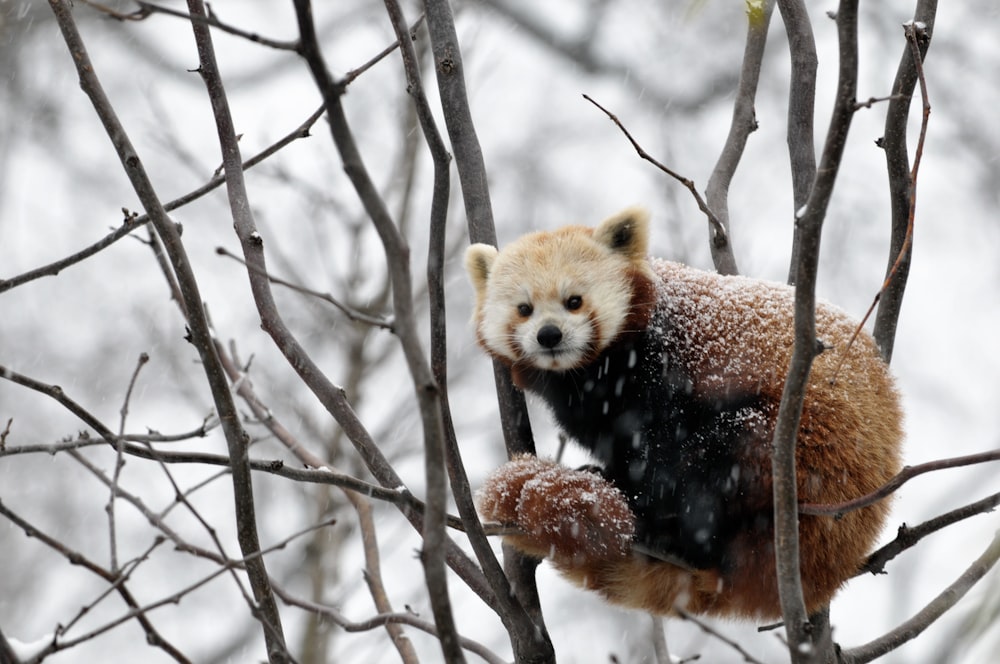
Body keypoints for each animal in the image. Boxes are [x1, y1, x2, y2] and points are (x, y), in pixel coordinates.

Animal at [464, 206, 904, 616]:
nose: (549, 335)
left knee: (721, 454)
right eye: (524, 308)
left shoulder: (662, 371)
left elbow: (662, 445)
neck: (588, 375)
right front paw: (605, 473)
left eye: (574, 301)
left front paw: (632, 490)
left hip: (804, 460)